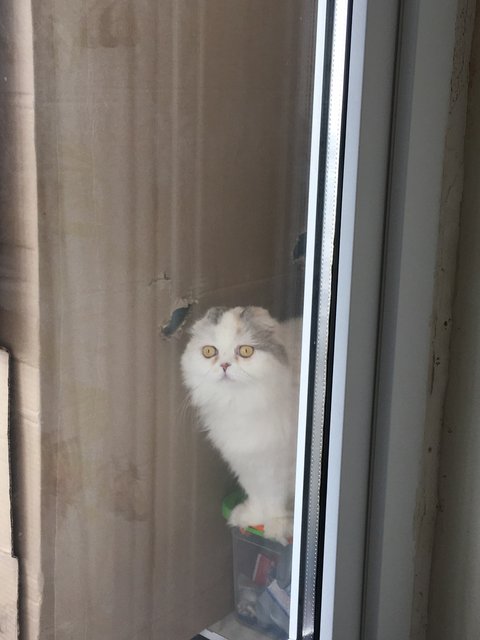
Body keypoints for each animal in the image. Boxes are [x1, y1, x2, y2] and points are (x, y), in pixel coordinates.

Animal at [181, 306, 301, 544]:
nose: (225, 365)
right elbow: (256, 491)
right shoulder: (245, 460)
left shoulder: (280, 462)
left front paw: (276, 526)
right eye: (209, 352)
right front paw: (252, 516)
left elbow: (275, 497)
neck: (240, 402)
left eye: (245, 351)